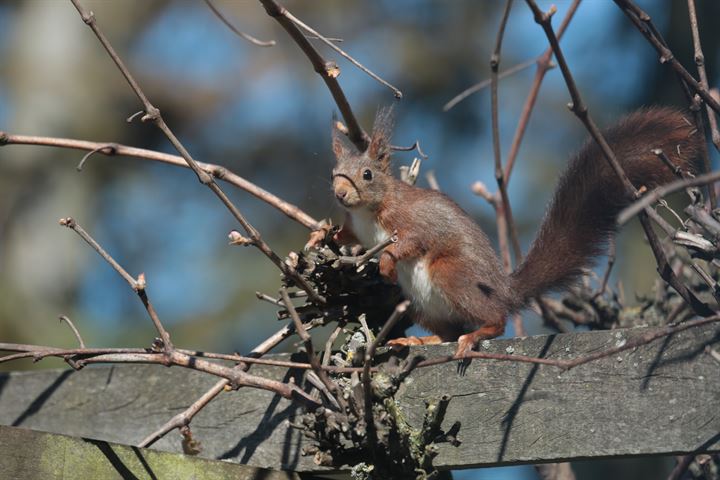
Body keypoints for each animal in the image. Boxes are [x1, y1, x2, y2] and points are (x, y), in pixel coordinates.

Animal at [324, 109, 700, 356]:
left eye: (368, 174)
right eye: (333, 174)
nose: (340, 194)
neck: (369, 210)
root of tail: (504, 291)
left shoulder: (412, 222)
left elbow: (411, 242)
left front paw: (386, 263)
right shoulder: (357, 229)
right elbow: (349, 238)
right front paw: (322, 235)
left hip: (452, 274)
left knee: (495, 320)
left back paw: (477, 334)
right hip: (420, 305)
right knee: (446, 333)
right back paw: (420, 340)